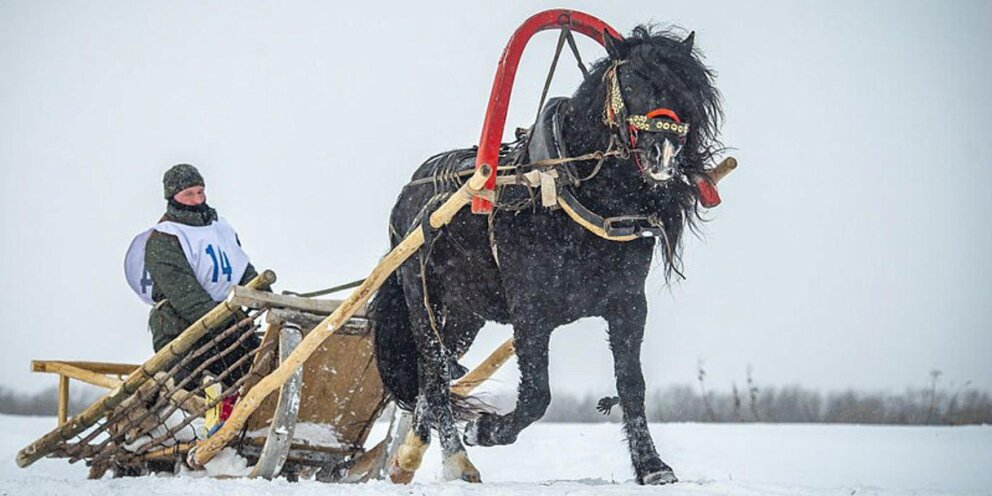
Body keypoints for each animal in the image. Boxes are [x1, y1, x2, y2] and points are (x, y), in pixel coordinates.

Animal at [370, 27, 720, 484]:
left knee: (438, 373)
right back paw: (457, 459)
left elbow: (632, 385)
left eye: (687, 89)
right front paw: (486, 429)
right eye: (632, 81)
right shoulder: (531, 311)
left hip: (465, 315)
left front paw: (651, 465)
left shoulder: (628, 305)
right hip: (421, 299)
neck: (572, 193)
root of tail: (408, 195)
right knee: (433, 371)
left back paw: (409, 456)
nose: (664, 151)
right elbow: (538, 393)